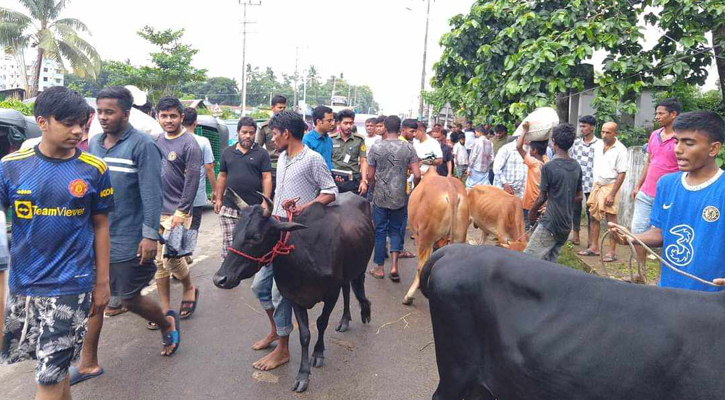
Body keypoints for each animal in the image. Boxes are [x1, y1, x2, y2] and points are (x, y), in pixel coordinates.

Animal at [211, 192, 370, 392]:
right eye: (234, 233)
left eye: (256, 237)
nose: (219, 279)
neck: (305, 256)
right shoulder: (295, 297)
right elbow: (304, 335)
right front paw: (303, 374)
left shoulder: (331, 294)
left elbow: (321, 323)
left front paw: (318, 354)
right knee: (347, 288)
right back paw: (345, 320)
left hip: (360, 266)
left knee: (356, 287)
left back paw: (362, 312)